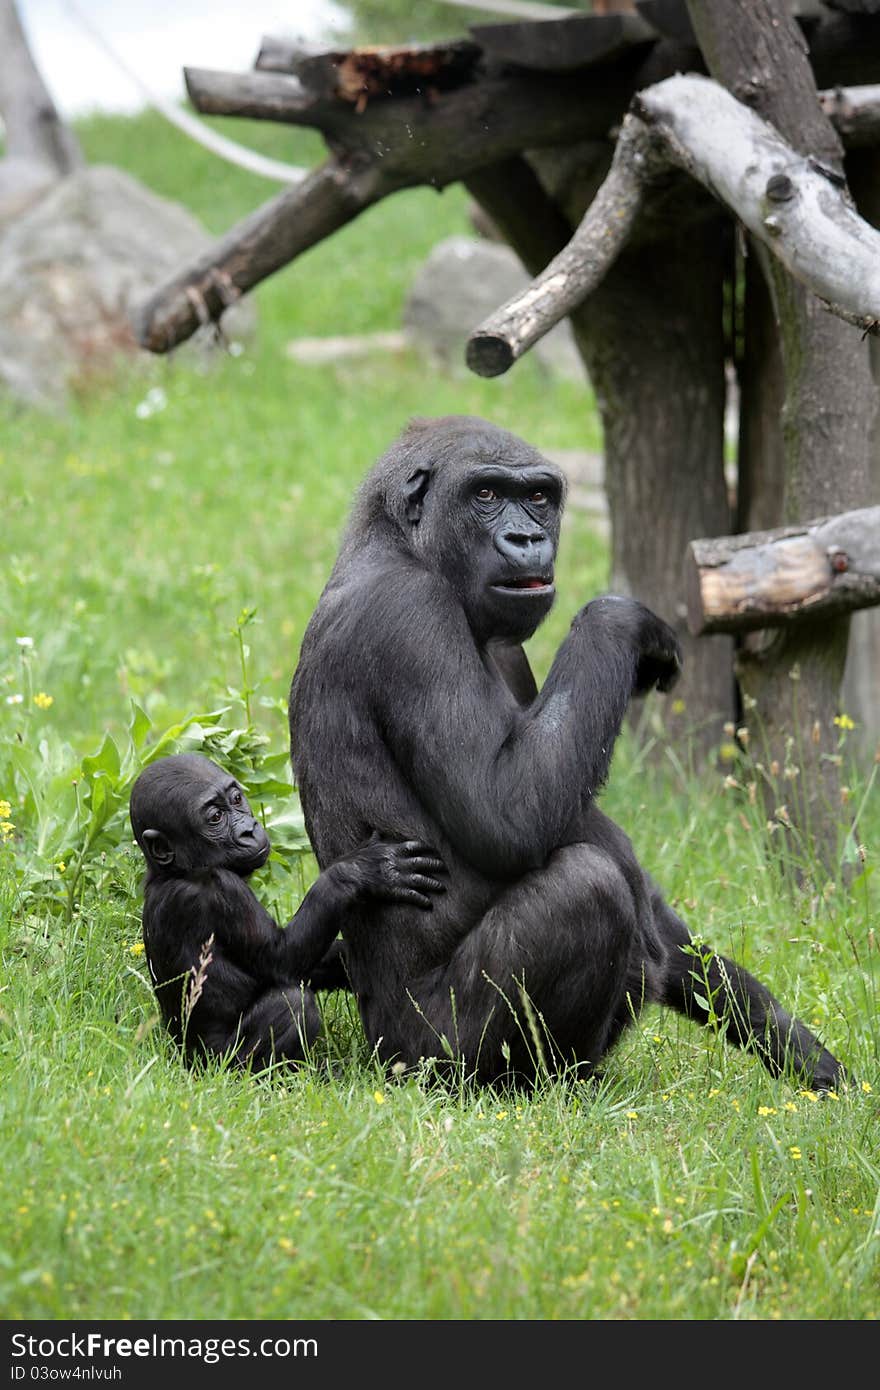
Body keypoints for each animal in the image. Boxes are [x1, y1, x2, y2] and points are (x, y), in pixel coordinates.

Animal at [128, 756, 444, 1067]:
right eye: (215, 817)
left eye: (236, 799)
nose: (248, 829)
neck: (172, 871)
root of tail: (184, 1061)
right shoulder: (222, 890)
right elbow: (281, 958)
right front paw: (364, 870)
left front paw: (346, 961)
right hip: (219, 1063)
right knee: (291, 1005)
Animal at [287, 417, 845, 1089]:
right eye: (484, 494)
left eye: (538, 497)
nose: (527, 538)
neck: (401, 543)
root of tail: (374, 1049)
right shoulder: (410, 614)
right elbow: (504, 815)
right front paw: (619, 619)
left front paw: (796, 1047)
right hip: (421, 1058)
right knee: (587, 887)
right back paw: (546, 1087)